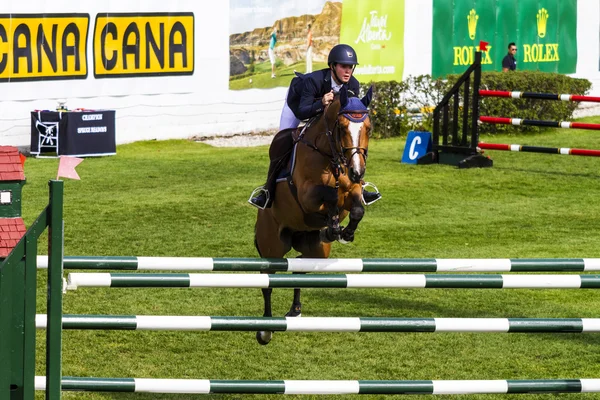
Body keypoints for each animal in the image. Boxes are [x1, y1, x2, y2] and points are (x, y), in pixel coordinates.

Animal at [252, 86, 372, 346]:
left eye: (368, 128)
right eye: (342, 128)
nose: (357, 171)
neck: (330, 156)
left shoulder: (352, 191)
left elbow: (356, 206)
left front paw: (343, 232)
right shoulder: (306, 195)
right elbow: (329, 194)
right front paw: (334, 222)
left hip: (316, 249)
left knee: (299, 266)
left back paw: (295, 309)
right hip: (272, 247)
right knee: (267, 281)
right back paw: (265, 331)